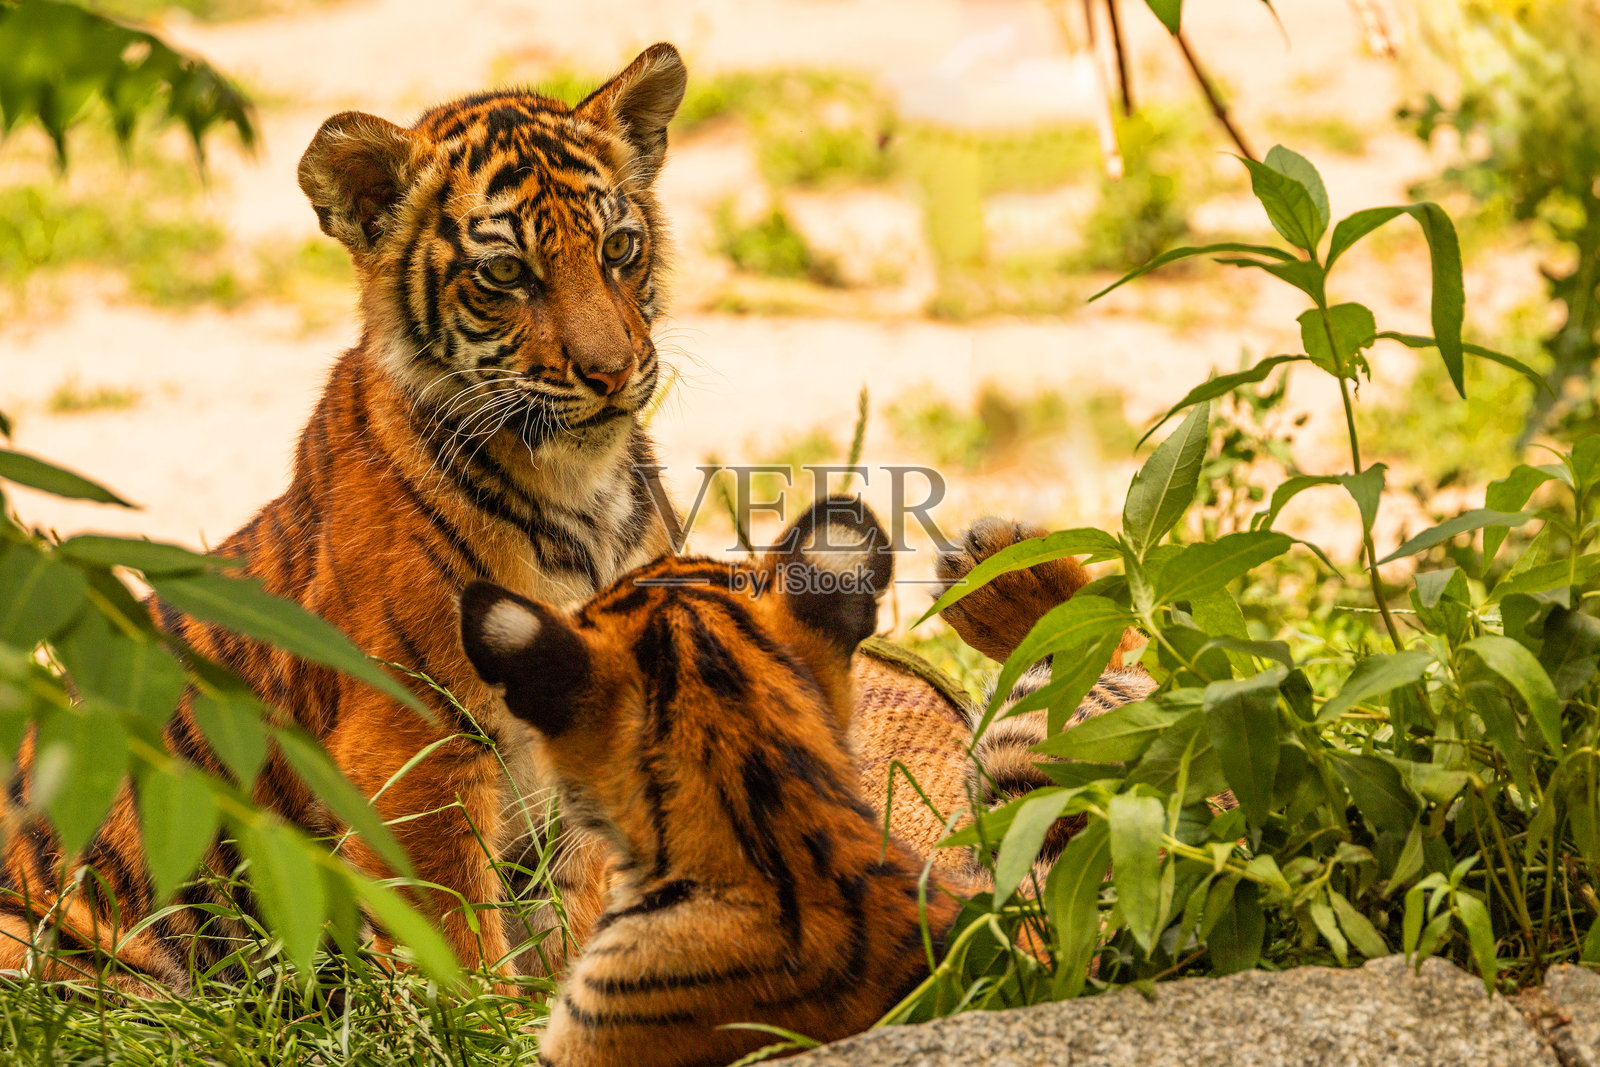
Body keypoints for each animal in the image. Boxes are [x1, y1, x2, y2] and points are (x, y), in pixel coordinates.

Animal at [2, 43, 694, 990]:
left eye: (620, 249)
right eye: (505, 273)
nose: (612, 370)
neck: (576, 487)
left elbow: (583, 910)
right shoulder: (414, 739)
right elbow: (453, 931)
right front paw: (493, 1012)